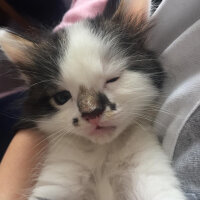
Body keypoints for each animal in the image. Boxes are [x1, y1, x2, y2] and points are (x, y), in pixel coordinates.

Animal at [0, 0, 186, 200]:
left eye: (113, 79)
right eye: (62, 97)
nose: (92, 113)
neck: (104, 152)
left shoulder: (148, 169)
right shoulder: (60, 175)